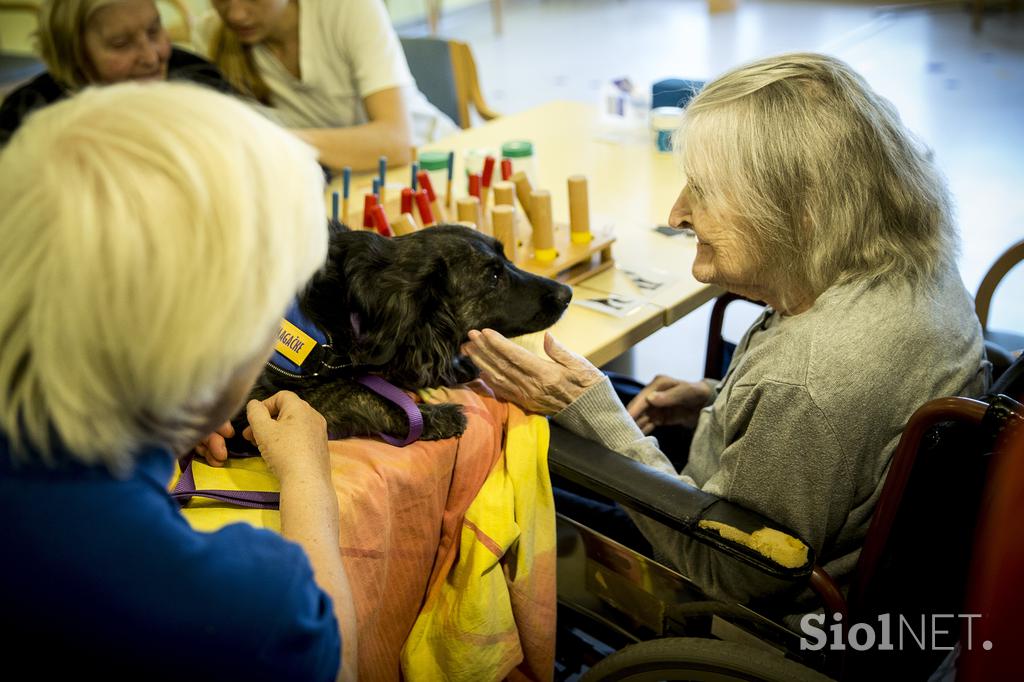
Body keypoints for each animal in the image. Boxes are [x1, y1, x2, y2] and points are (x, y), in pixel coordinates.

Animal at [240, 220, 577, 444]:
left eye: (507, 260)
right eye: (493, 277)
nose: (567, 293)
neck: (349, 306)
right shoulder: (260, 398)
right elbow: (354, 391)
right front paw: (433, 417)